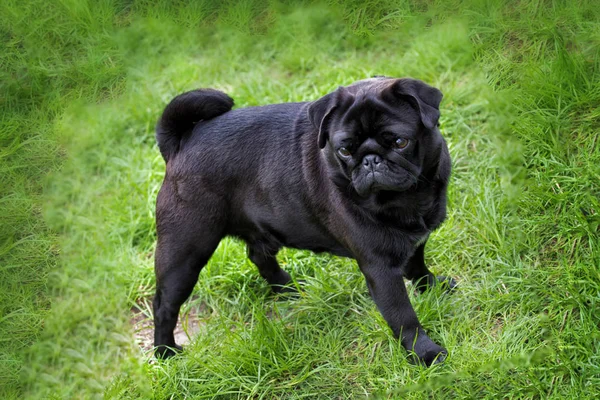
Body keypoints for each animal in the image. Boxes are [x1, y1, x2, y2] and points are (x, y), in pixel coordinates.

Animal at [151, 77, 454, 366]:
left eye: (400, 142)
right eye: (344, 150)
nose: (370, 160)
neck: (407, 197)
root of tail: (182, 143)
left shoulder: (416, 240)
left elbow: (417, 265)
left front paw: (431, 286)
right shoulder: (380, 268)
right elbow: (403, 316)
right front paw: (424, 353)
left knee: (259, 255)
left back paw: (286, 287)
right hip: (186, 250)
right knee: (164, 305)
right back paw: (165, 352)